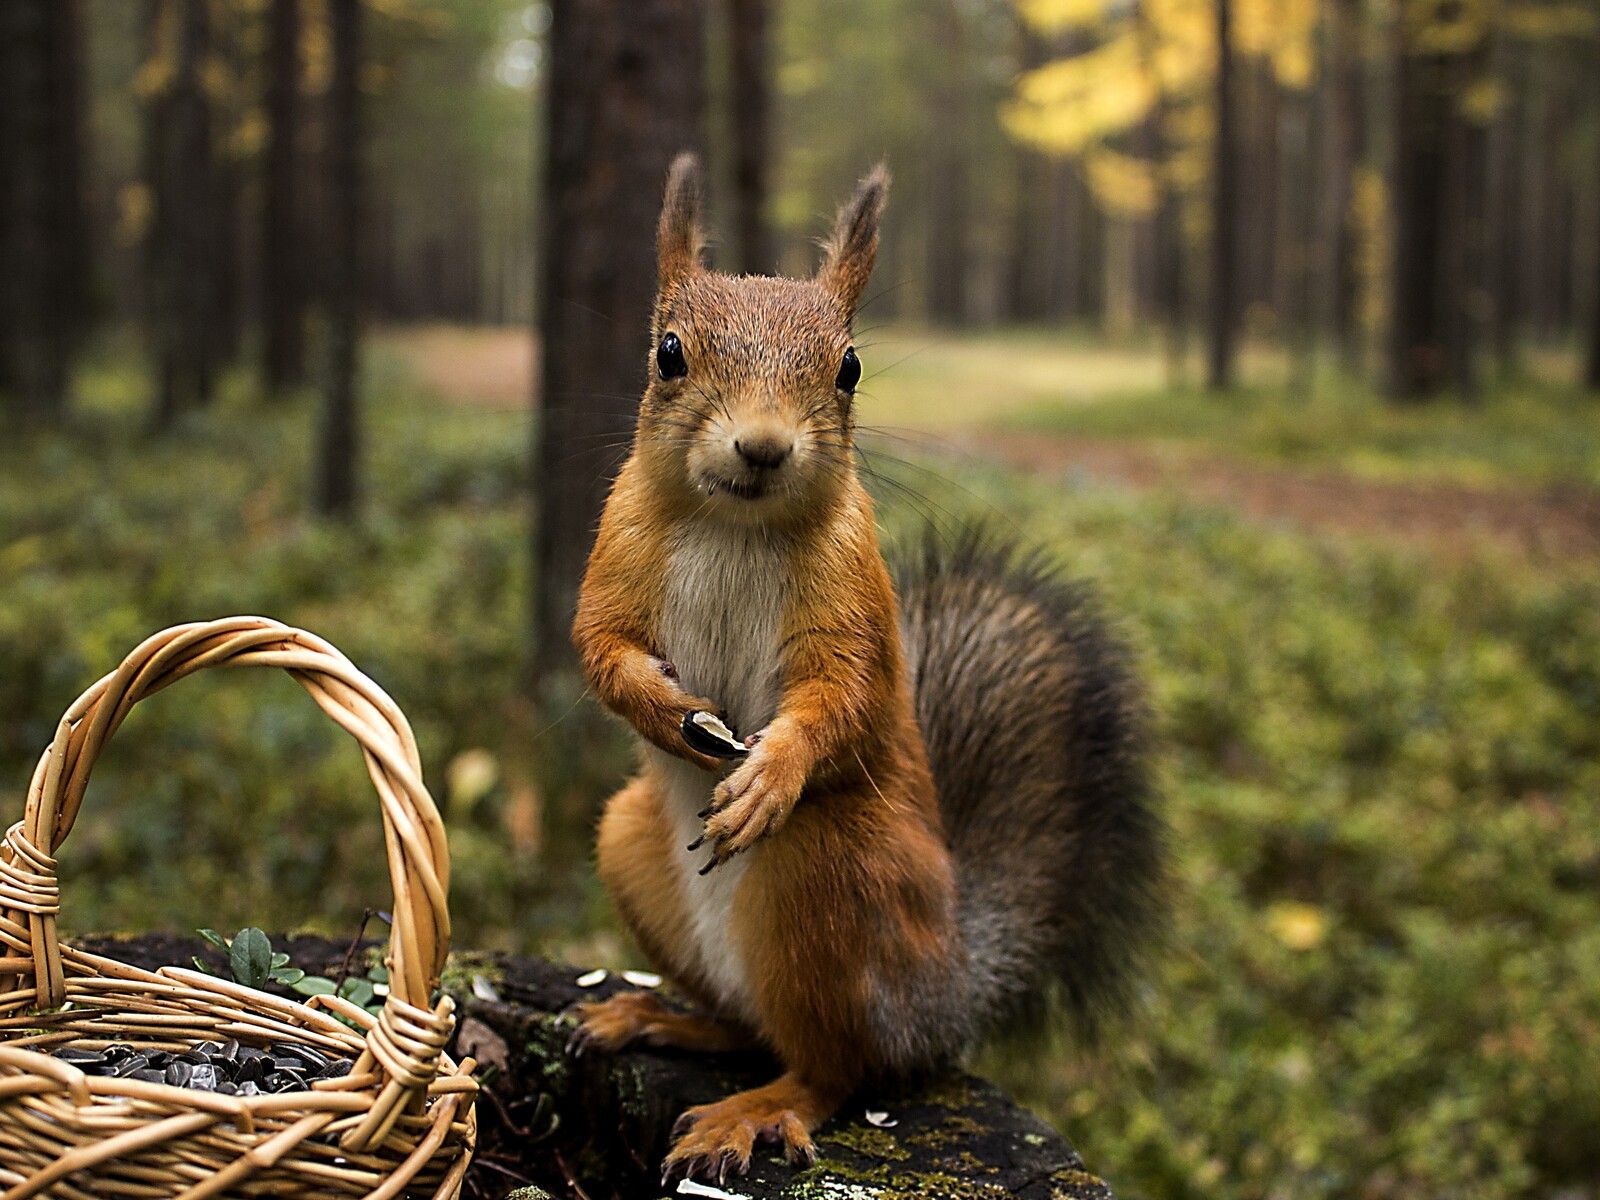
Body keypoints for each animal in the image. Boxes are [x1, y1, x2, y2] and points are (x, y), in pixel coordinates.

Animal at [566, 157, 1164, 1184]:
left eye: (847, 367)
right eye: (669, 352)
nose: (763, 446)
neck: (734, 524)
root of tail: (946, 993)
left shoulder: (852, 601)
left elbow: (840, 697)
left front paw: (769, 774)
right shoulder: (616, 553)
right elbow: (600, 648)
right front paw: (665, 710)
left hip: (832, 875)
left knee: (835, 1067)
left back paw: (756, 1109)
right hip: (631, 845)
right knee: (749, 1026)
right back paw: (656, 1016)